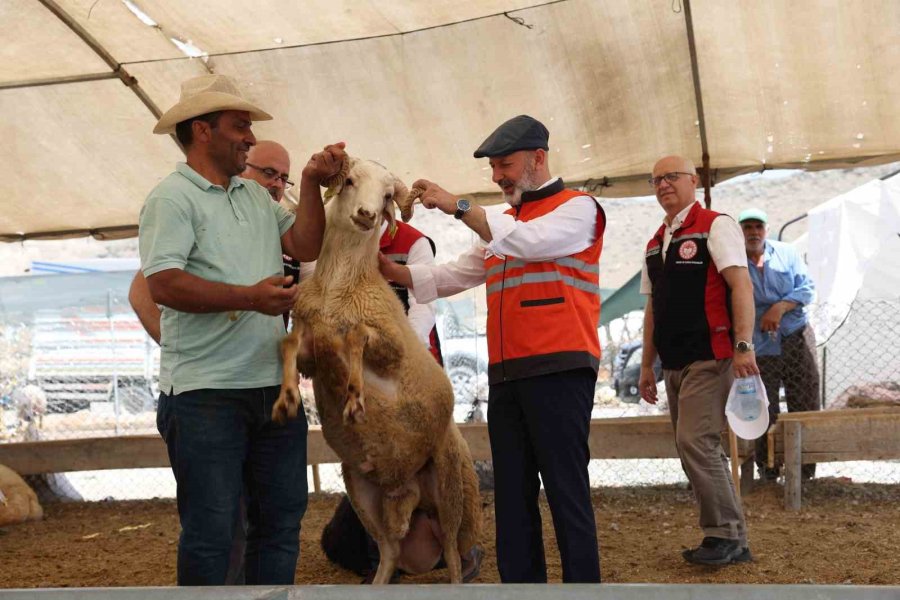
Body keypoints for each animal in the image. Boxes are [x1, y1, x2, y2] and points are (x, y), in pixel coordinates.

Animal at [272, 157, 482, 584]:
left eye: (387, 196)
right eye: (350, 180)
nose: (368, 215)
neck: (339, 288)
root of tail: (406, 494)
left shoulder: (391, 348)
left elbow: (355, 337)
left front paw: (355, 398)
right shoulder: (310, 348)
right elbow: (290, 345)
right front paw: (286, 398)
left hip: (449, 485)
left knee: (453, 554)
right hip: (362, 492)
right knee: (389, 552)